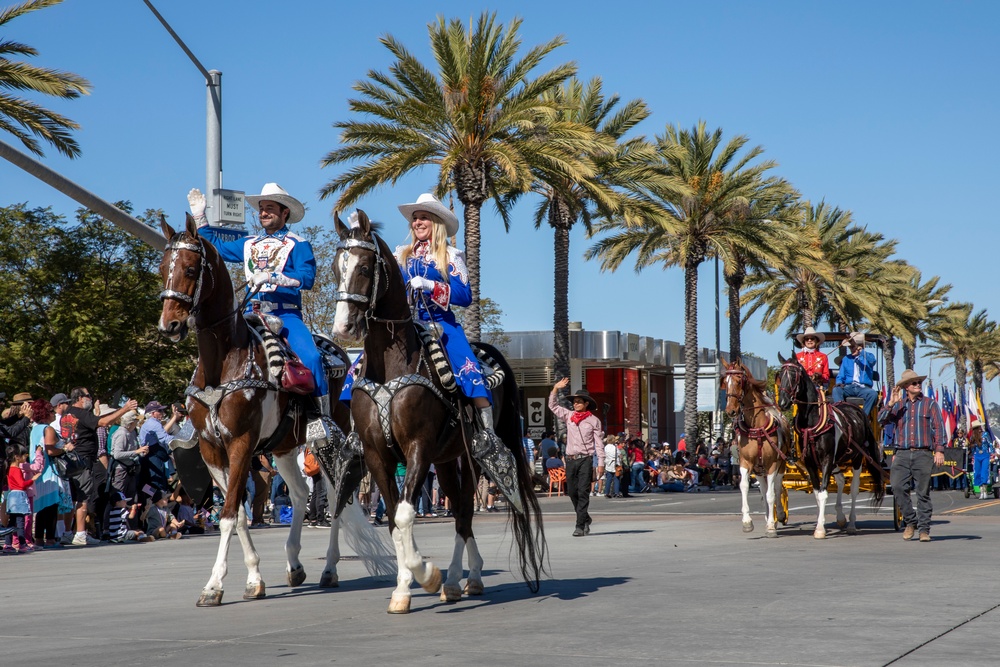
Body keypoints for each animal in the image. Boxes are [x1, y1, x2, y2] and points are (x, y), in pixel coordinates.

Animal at [157, 217, 390, 608]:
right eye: (162, 269)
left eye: (190, 269)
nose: (169, 326)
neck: (223, 362)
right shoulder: (211, 449)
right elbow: (238, 514)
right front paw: (254, 578)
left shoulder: (241, 444)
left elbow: (227, 515)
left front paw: (214, 586)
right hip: (283, 448)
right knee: (298, 494)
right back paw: (294, 563)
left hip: (330, 444)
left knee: (336, 497)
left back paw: (329, 569)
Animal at [330, 211, 548, 612]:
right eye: (337, 268)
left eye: (365, 267)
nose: (344, 327)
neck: (390, 366)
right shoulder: (377, 454)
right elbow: (392, 519)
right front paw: (404, 587)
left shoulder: (418, 447)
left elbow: (404, 513)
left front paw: (424, 575)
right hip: (447, 461)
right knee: (460, 511)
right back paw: (461, 580)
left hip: (471, 458)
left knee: (463, 511)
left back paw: (461, 578)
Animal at [724, 360, 792, 536]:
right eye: (724, 383)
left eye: (739, 381)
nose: (730, 410)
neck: (757, 427)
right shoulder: (745, 463)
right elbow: (744, 486)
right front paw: (747, 521)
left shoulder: (772, 464)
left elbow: (771, 494)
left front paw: (771, 525)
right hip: (759, 470)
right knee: (763, 488)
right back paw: (769, 517)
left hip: (780, 465)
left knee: (776, 488)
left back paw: (778, 515)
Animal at [772, 354, 884, 536]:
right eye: (779, 376)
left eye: (795, 376)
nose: (782, 402)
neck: (813, 421)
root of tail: (856, 409)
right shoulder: (811, 462)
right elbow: (818, 493)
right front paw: (821, 521)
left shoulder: (826, 459)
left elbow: (824, 493)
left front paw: (819, 529)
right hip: (837, 459)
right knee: (840, 480)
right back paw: (841, 517)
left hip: (856, 458)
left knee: (854, 488)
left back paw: (851, 523)